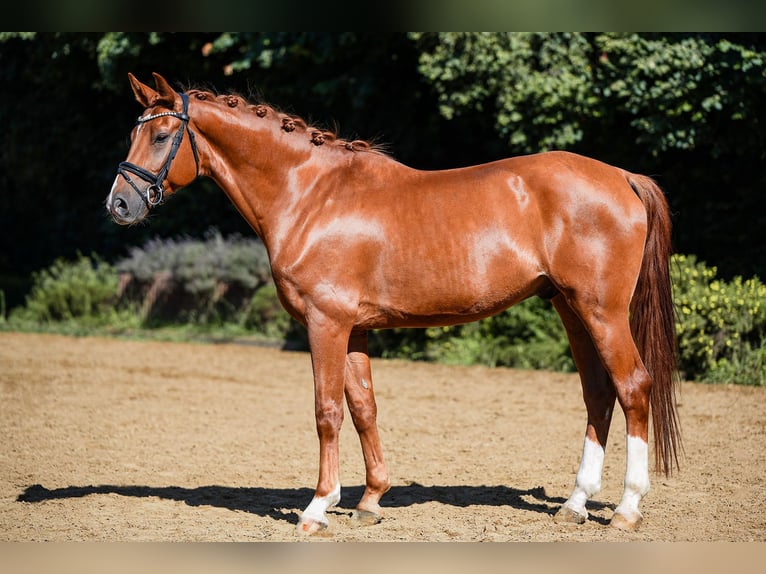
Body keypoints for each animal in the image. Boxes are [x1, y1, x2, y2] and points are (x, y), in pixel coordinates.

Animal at [106, 72, 681, 535]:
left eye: (162, 136)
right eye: (133, 133)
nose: (119, 204)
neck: (311, 194)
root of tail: (623, 177)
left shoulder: (326, 323)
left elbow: (327, 411)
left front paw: (317, 508)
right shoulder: (355, 328)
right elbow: (364, 407)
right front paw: (369, 500)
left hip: (601, 312)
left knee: (633, 387)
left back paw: (627, 508)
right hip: (571, 309)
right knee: (598, 394)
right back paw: (575, 504)